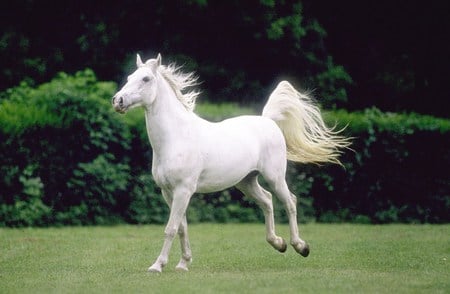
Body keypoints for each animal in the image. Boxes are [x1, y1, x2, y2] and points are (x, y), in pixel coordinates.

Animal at [110, 54, 350, 272]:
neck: (176, 138)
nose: (117, 101)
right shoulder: (168, 192)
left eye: (146, 79)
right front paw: (183, 264)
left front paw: (157, 266)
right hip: (247, 182)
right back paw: (278, 243)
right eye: (130, 77)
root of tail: (269, 121)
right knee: (267, 201)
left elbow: (171, 228)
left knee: (290, 202)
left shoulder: (183, 190)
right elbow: (182, 228)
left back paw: (300, 246)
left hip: (274, 177)